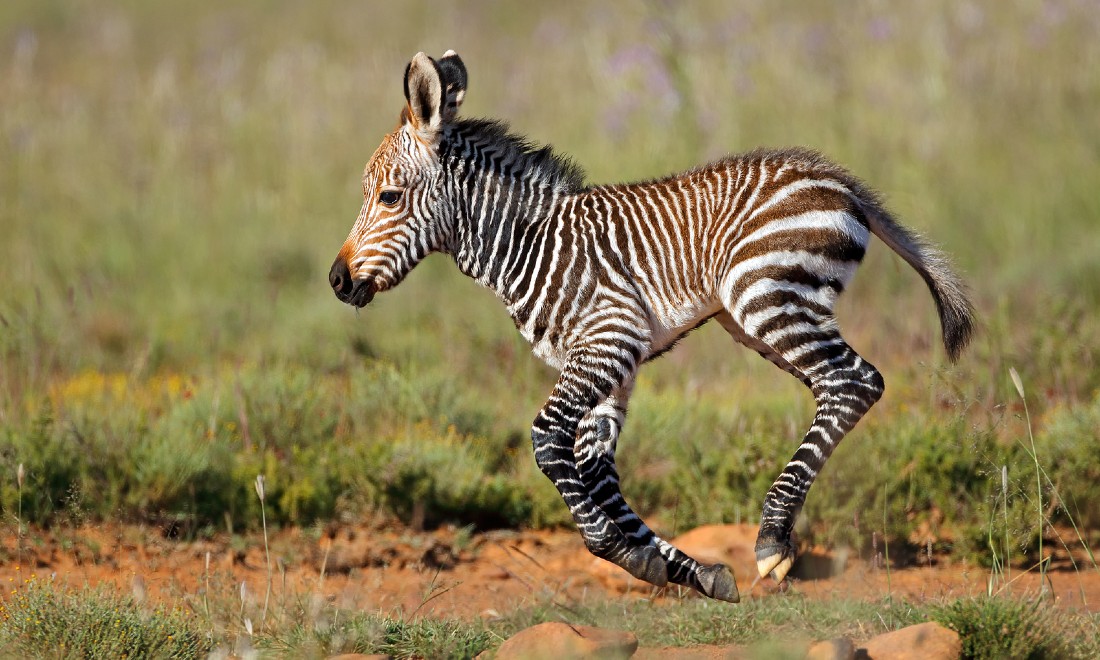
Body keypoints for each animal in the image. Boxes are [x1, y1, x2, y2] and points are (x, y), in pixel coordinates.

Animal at [328, 51, 974, 603]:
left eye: (388, 197)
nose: (337, 280)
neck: (525, 242)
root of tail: (836, 176)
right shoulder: (608, 364)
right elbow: (593, 468)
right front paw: (683, 570)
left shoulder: (609, 339)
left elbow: (547, 440)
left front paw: (623, 552)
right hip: (761, 315)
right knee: (844, 385)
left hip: (766, 296)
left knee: (854, 383)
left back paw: (772, 538)